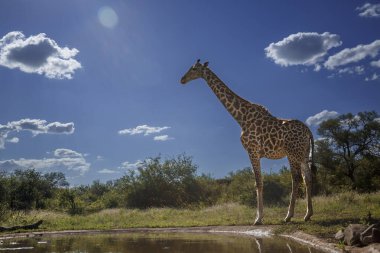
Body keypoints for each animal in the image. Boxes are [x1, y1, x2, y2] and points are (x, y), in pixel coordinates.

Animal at [180, 59, 314, 225]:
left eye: (194, 68)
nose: (182, 79)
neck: (241, 117)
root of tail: (308, 131)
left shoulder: (252, 150)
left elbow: (258, 182)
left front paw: (258, 218)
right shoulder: (255, 152)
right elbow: (259, 182)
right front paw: (259, 217)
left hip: (292, 153)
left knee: (295, 179)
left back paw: (288, 216)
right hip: (303, 153)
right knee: (307, 177)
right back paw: (307, 215)